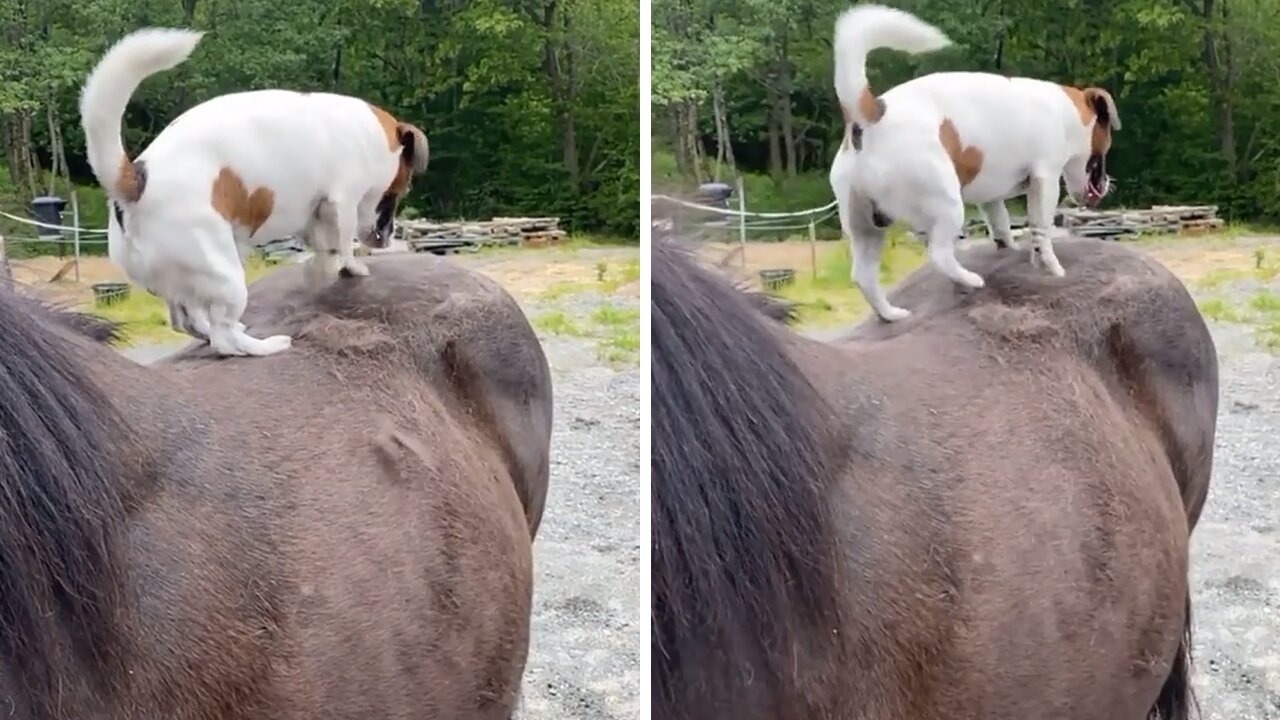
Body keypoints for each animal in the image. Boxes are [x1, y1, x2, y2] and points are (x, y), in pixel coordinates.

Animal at [80, 29, 430, 353]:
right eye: (401, 190)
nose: (389, 236)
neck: (373, 136)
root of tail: (137, 178)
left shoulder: (319, 213)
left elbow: (326, 251)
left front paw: (322, 271)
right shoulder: (342, 201)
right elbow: (344, 244)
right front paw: (351, 267)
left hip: (186, 283)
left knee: (188, 322)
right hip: (226, 276)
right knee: (223, 336)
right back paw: (266, 346)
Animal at [829, 4, 1121, 319]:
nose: (1108, 182)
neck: (1067, 113)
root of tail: (869, 115)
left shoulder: (991, 199)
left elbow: (1002, 227)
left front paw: (1012, 251)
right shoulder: (1046, 179)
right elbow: (1041, 230)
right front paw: (1053, 269)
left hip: (866, 226)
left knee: (864, 276)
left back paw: (892, 314)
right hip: (945, 205)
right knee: (938, 254)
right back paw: (970, 279)